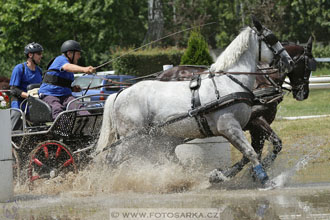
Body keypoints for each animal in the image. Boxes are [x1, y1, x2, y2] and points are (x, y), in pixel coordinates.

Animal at [95, 19, 294, 187]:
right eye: (272, 38)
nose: (289, 61)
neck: (229, 82)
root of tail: (120, 93)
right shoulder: (229, 126)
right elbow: (251, 152)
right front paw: (266, 180)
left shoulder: (245, 125)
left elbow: (250, 152)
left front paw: (220, 175)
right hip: (133, 138)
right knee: (111, 160)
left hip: (152, 137)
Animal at [156, 36, 316, 180]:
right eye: (308, 67)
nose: (304, 94)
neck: (262, 78)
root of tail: (159, 76)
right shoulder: (256, 120)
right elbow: (272, 145)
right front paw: (224, 174)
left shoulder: (255, 128)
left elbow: (255, 150)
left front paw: (249, 173)